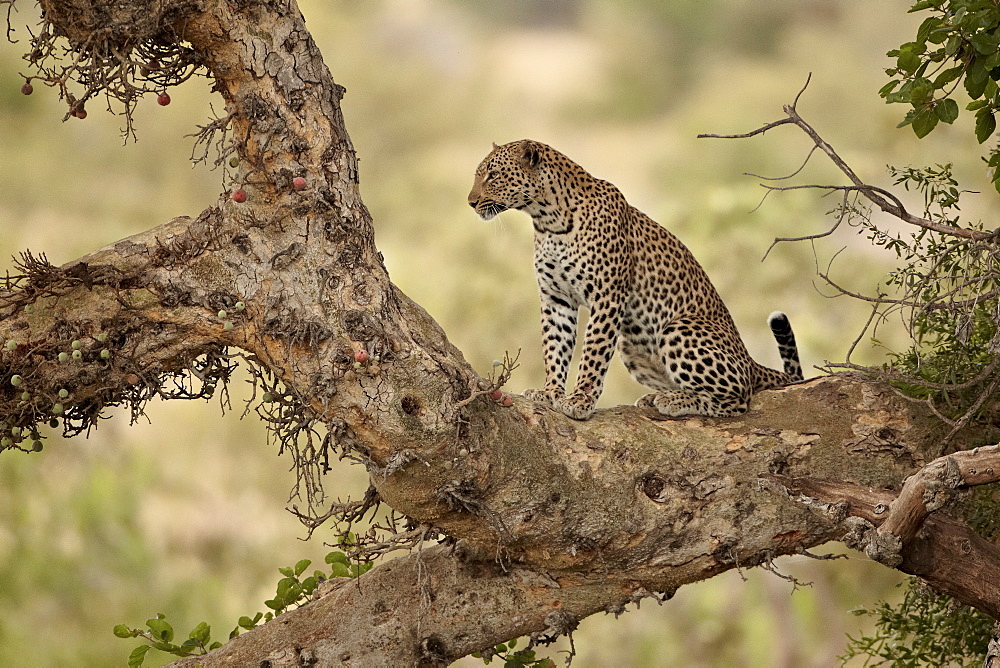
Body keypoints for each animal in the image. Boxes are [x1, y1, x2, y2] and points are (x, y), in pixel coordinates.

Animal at [468, 138, 804, 420]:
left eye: (492, 175)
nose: (470, 202)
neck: (548, 220)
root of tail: (749, 360)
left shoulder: (607, 295)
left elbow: (593, 352)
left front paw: (579, 401)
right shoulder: (556, 298)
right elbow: (554, 347)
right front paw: (550, 391)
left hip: (679, 328)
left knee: (738, 400)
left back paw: (676, 401)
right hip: (632, 347)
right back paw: (657, 397)